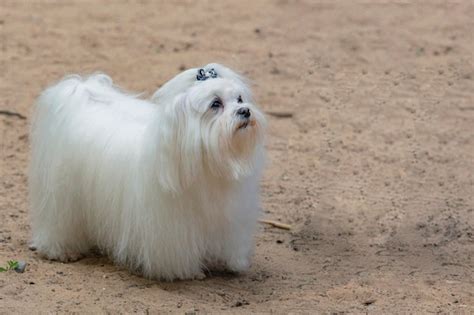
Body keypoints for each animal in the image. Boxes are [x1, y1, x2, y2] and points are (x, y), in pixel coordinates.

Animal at [28, 63, 266, 280]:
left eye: (239, 99)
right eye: (215, 104)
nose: (245, 111)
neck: (205, 164)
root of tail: (81, 93)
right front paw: (189, 272)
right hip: (62, 197)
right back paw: (62, 250)